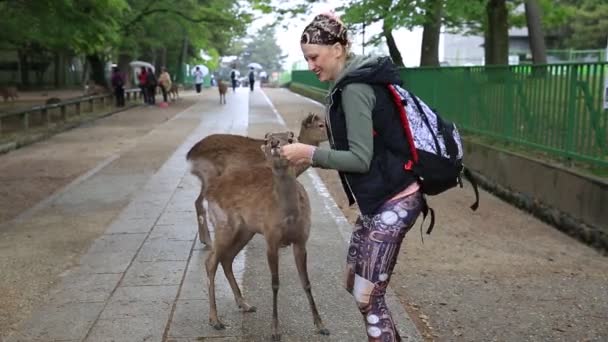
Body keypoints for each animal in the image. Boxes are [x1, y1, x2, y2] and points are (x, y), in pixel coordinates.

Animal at [186, 113, 326, 247]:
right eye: (320, 125)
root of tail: (190, 156)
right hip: (209, 175)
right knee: (201, 203)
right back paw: (209, 240)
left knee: (197, 202)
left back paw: (206, 240)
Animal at [204, 132, 330, 342]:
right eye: (266, 138)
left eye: (291, 137)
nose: (274, 143)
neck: (289, 216)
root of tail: (208, 191)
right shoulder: (271, 238)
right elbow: (275, 283)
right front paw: (275, 330)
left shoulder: (301, 240)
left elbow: (306, 282)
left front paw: (321, 325)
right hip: (224, 224)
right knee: (211, 261)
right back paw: (215, 320)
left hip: (246, 230)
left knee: (226, 258)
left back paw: (245, 304)